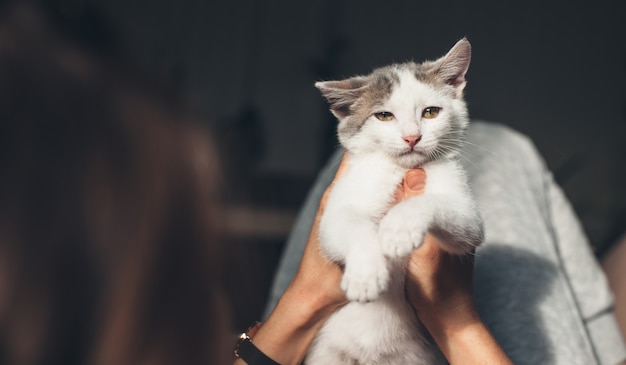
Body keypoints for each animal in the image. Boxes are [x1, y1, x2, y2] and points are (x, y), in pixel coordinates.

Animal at [308, 38, 482, 362]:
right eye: (384, 116)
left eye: (430, 112)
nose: (412, 137)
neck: (400, 172)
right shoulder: (338, 204)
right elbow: (349, 223)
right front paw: (366, 273)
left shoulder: (468, 216)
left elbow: (449, 214)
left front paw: (399, 228)